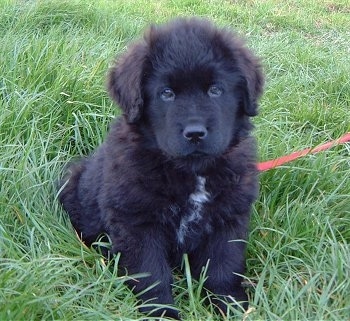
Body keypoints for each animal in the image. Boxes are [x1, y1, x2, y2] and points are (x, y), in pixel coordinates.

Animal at [58, 18, 264, 320]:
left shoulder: (229, 217)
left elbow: (223, 267)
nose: (195, 133)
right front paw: (163, 313)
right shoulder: (137, 223)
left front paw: (232, 307)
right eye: (167, 94)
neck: (192, 173)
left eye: (216, 90)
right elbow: (152, 274)